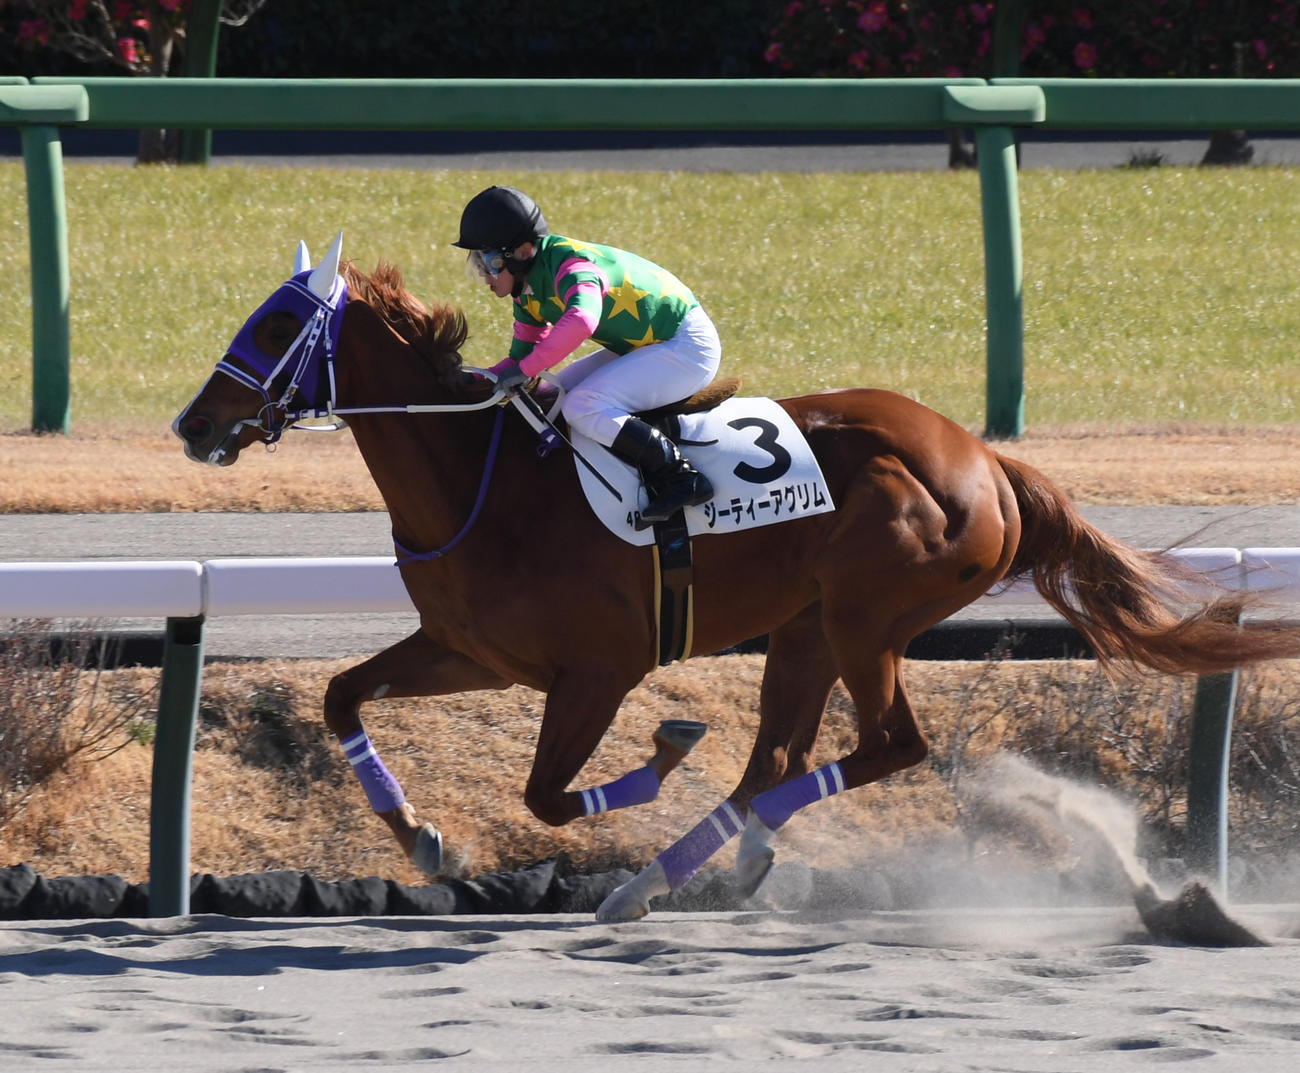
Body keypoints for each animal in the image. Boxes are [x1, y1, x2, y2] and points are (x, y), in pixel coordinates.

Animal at [173, 235, 1300, 922]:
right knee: (776, 758)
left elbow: (548, 794)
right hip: (806, 628)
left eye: (274, 327)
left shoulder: (600, 669)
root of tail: (985, 459)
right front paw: (420, 839)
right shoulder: (471, 651)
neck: (479, 485)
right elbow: (341, 694)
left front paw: (662, 753)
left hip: (867, 617)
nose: (192, 423)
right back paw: (687, 870)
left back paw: (692, 861)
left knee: (888, 744)